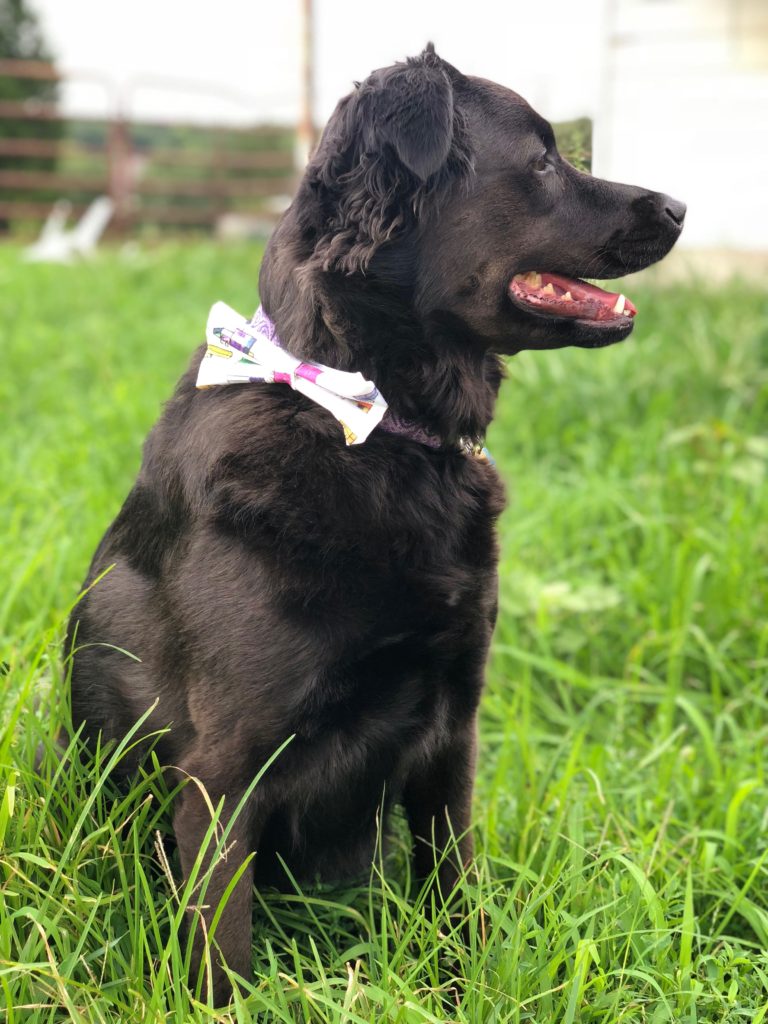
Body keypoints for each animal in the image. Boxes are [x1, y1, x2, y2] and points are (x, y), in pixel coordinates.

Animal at [69, 46, 688, 999]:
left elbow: (454, 889)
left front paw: (466, 990)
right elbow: (225, 956)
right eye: (544, 161)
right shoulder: (221, 775)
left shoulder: (450, 730)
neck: (370, 425)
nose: (681, 208)